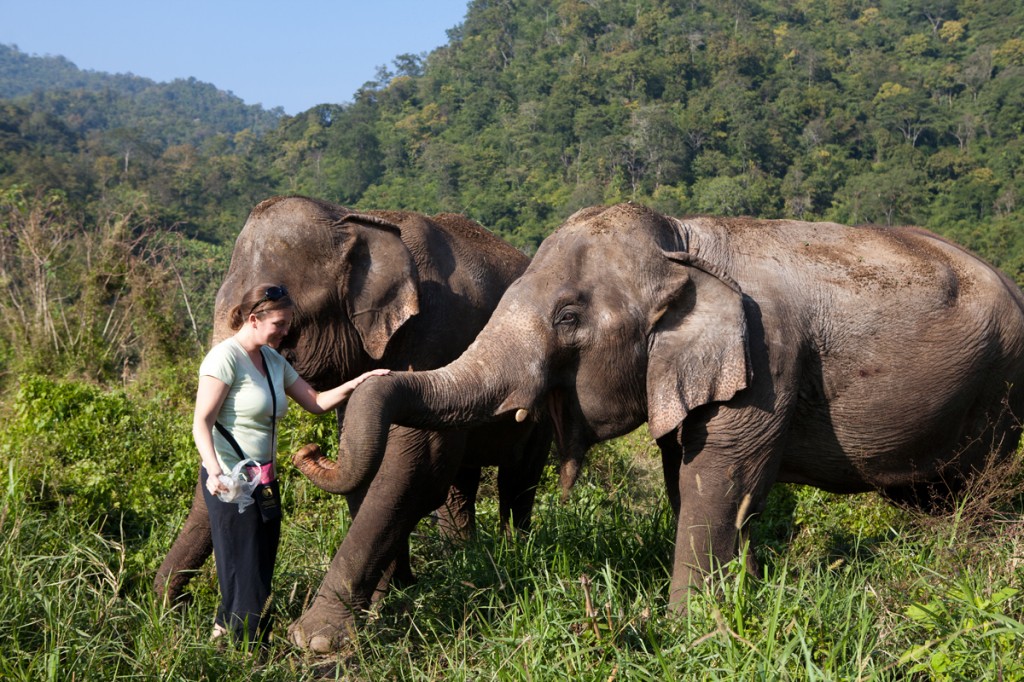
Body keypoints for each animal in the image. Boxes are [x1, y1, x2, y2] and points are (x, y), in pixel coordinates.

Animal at [153, 193, 552, 618]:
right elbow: (368, 465)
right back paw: (463, 558)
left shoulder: (440, 332)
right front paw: (392, 595)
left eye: (276, 327)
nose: (175, 608)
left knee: (519, 476)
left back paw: (512, 553)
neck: (358, 220)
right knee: (461, 484)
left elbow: (415, 461)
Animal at [309, 202, 1024, 647]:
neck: (683, 243)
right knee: (931, 497)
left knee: (980, 495)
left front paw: (687, 633)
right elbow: (687, 480)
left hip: (1001, 394)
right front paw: (732, 604)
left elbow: (720, 486)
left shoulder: (768, 363)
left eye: (568, 316)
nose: (307, 457)